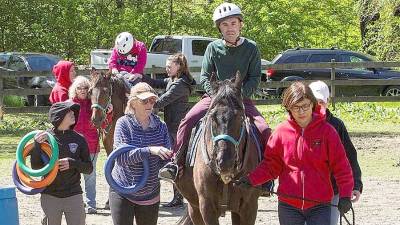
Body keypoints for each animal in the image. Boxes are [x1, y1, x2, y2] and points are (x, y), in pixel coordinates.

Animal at [175, 71, 262, 225]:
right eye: (212, 117)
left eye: (240, 118)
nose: (224, 162)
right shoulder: (206, 206)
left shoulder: (249, 207)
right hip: (194, 207)